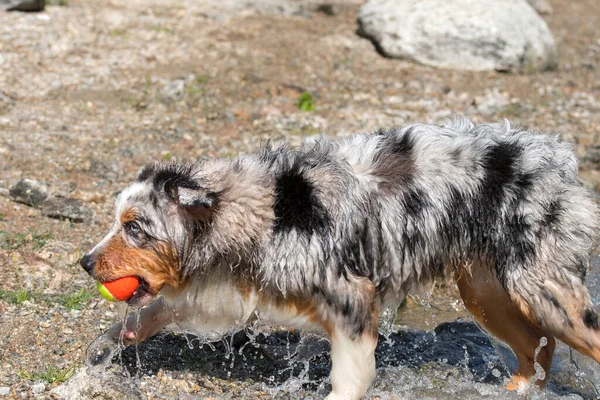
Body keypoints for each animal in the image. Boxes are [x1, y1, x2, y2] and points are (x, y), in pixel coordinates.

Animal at [81, 119, 600, 400]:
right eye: (118, 221)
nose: (85, 262)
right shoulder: (232, 285)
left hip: (544, 290)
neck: (257, 209)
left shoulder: (351, 297)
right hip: (485, 289)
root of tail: (557, 157)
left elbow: (350, 374)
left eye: (135, 228)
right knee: (537, 347)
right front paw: (109, 343)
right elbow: (156, 308)